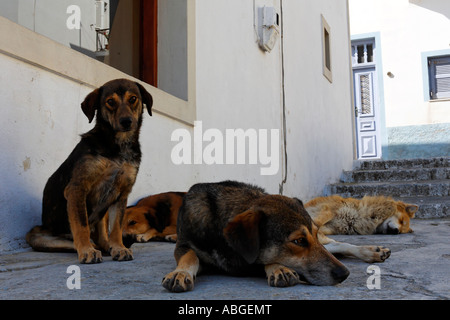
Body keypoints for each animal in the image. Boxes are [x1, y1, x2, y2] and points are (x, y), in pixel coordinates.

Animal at [26, 79, 153, 264]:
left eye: (133, 99)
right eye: (110, 101)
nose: (126, 121)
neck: (118, 146)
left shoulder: (121, 194)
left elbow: (116, 227)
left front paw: (119, 248)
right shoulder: (77, 188)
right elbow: (81, 225)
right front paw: (87, 251)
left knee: (101, 236)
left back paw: (108, 247)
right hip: (36, 235)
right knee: (77, 241)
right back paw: (91, 247)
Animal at [162, 180, 352, 292]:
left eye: (315, 234)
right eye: (299, 241)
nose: (345, 273)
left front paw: (279, 268)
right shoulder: (185, 244)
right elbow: (190, 256)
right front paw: (180, 272)